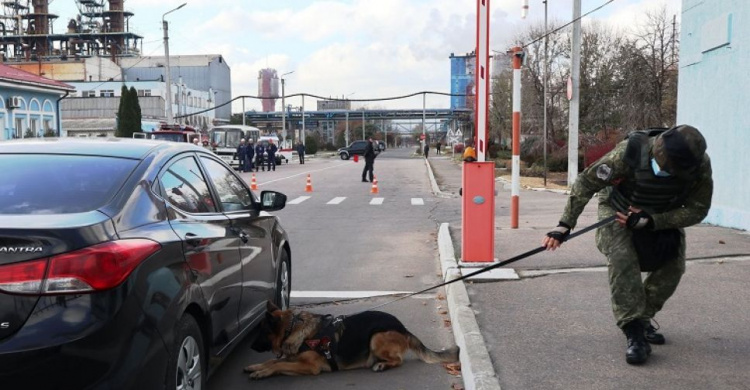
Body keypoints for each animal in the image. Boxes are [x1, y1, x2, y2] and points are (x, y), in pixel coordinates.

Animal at [245, 300, 458, 380]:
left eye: (261, 332)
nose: (251, 346)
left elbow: (279, 365)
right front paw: (257, 366)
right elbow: (273, 361)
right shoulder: (294, 357)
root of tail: (403, 328)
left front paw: (262, 372)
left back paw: (381, 365)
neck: (293, 328)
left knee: (398, 360)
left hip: (376, 337)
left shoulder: (309, 367)